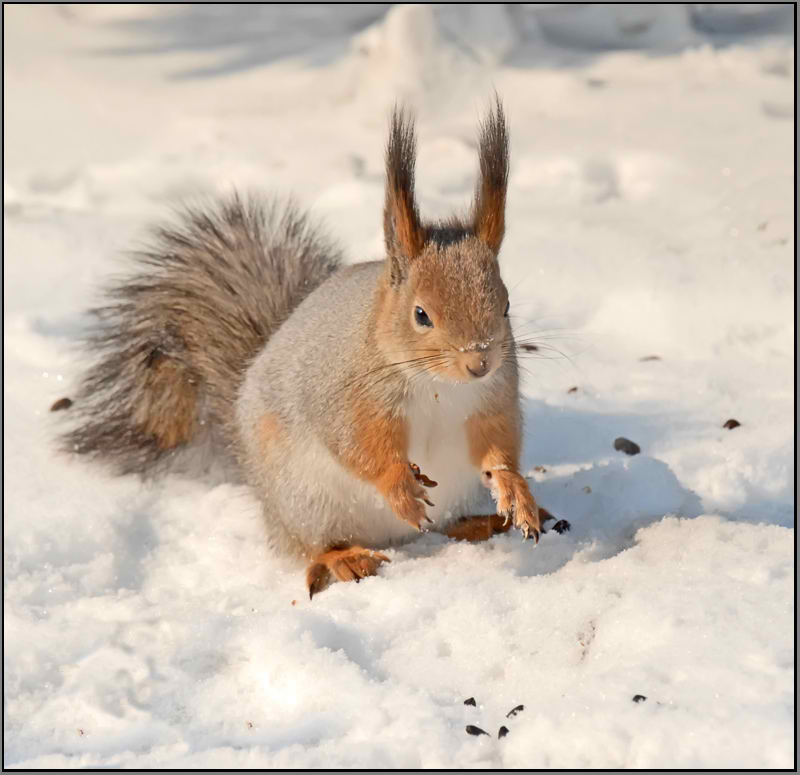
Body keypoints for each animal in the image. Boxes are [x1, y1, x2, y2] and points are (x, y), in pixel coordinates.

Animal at [64, 100, 552, 596]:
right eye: (421, 315)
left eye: (506, 305)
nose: (479, 361)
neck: (439, 385)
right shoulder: (347, 395)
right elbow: (357, 444)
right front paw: (399, 487)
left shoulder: (493, 397)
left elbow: (497, 446)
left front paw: (516, 491)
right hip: (303, 500)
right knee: (313, 546)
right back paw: (346, 558)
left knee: (446, 525)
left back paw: (484, 522)